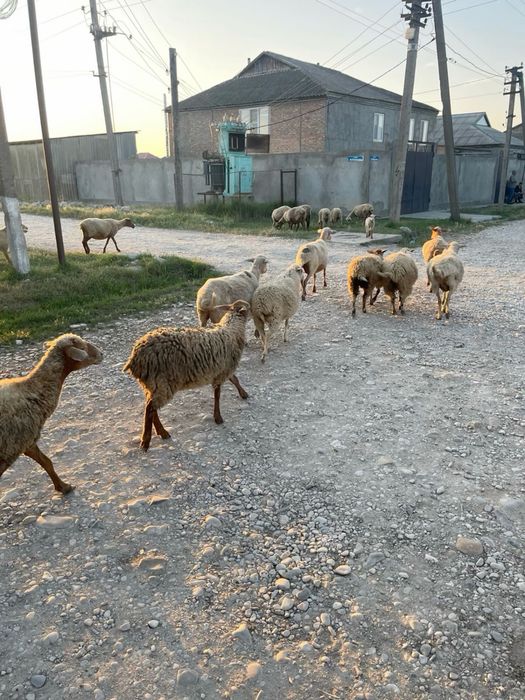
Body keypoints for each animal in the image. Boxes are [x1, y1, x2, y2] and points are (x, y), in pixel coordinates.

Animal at [0, 334, 103, 494]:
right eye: (82, 347)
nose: (102, 354)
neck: (32, 390)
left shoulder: (25, 443)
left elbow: (46, 461)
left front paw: (62, 486)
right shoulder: (16, 444)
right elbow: (46, 461)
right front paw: (64, 487)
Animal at [124, 300, 251, 450]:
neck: (232, 329)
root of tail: (135, 357)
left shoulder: (222, 369)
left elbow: (234, 380)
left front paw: (243, 394)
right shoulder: (222, 371)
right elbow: (218, 395)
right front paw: (218, 417)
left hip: (151, 384)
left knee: (150, 407)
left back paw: (162, 432)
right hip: (162, 383)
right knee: (150, 408)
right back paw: (146, 441)